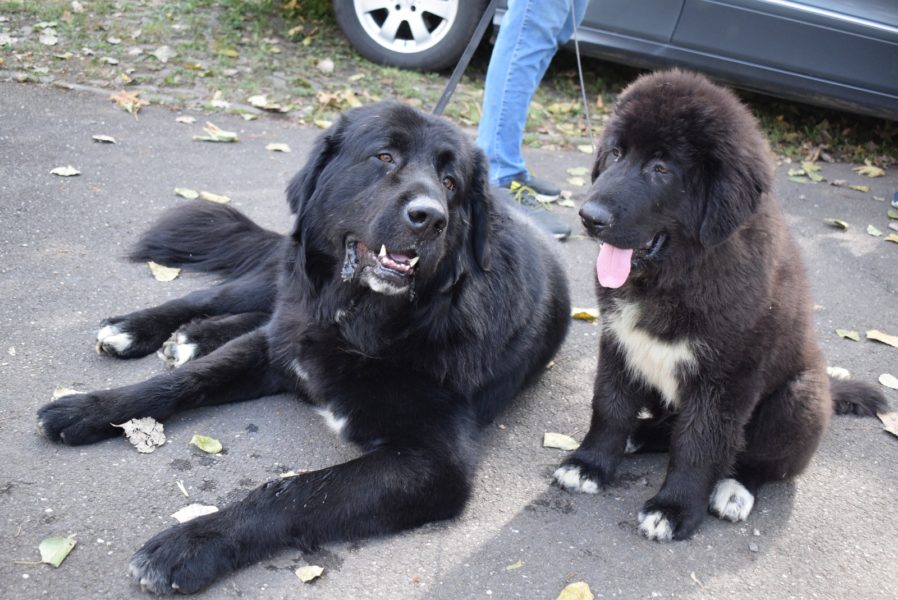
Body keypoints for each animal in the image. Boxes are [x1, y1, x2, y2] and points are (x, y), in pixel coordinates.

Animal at [36, 102, 568, 592]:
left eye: (451, 183)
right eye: (384, 156)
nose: (429, 218)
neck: (360, 324)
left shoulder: (434, 463)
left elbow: (292, 491)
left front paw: (191, 543)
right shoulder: (280, 348)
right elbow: (185, 381)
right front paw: (91, 407)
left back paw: (191, 337)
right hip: (280, 278)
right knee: (212, 299)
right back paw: (135, 329)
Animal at [552, 71, 880, 544]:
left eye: (661, 169)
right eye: (615, 152)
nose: (589, 217)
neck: (674, 277)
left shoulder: (726, 378)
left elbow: (698, 446)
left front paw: (673, 509)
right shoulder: (619, 344)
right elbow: (610, 406)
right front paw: (589, 464)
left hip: (799, 399)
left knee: (760, 462)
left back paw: (734, 489)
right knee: (667, 426)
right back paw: (639, 434)